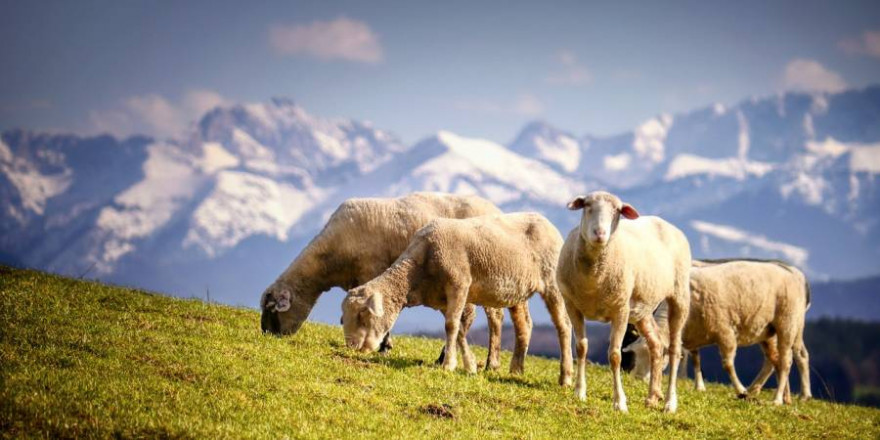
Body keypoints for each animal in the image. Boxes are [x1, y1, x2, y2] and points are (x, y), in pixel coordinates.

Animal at [254, 191, 528, 370]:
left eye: (272, 310)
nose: (267, 334)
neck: (328, 259)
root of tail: (497, 210)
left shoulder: (371, 270)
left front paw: (385, 345)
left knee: (493, 318)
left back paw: (489, 363)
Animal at [340, 211, 576, 384]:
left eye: (363, 315)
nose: (352, 346)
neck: (417, 271)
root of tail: (547, 222)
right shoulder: (442, 298)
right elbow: (459, 328)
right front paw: (469, 366)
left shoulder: (459, 285)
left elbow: (451, 326)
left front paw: (448, 365)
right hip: (517, 290)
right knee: (524, 325)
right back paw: (516, 369)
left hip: (552, 282)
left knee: (563, 326)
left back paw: (565, 377)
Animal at [556, 191, 696, 414]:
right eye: (587, 205)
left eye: (617, 211)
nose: (600, 233)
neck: (593, 279)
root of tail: (664, 222)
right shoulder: (572, 305)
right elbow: (581, 347)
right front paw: (580, 392)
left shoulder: (620, 310)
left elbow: (615, 355)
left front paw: (619, 402)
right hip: (642, 308)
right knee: (656, 345)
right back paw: (652, 397)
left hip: (679, 295)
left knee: (674, 350)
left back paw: (669, 402)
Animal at [624, 258, 812, 406]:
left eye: (653, 358)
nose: (638, 378)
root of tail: (793, 273)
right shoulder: (691, 334)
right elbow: (696, 360)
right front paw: (700, 386)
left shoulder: (725, 331)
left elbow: (727, 364)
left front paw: (741, 390)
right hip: (768, 331)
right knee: (776, 360)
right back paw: (784, 397)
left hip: (788, 324)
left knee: (789, 360)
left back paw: (780, 398)